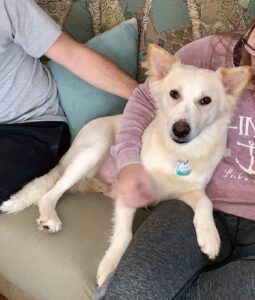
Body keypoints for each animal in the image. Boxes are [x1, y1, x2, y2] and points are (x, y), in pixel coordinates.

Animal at [0, 44, 252, 286]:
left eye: (205, 100)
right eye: (174, 94)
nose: (180, 130)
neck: (179, 153)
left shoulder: (189, 191)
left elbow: (206, 202)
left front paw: (210, 236)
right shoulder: (130, 188)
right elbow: (124, 235)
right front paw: (110, 265)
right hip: (95, 148)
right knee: (50, 193)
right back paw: (50, 216)